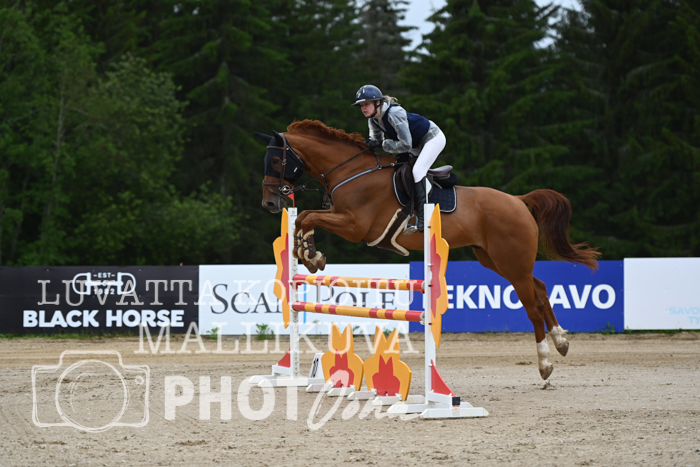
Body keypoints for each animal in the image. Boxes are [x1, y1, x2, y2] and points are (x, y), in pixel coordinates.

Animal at [258, 119, 600, 380]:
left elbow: (308, 216)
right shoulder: (343, 219)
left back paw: (545, 363)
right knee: (540, 287)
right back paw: (561, 341)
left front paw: (310, 254)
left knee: (532, 305)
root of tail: (518, 200)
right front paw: (308, 254)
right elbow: (303, 216)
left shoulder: (355, 226)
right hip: (495, 260)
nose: (270, 204)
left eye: (276, 161)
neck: (350, 172)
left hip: (511, 261)